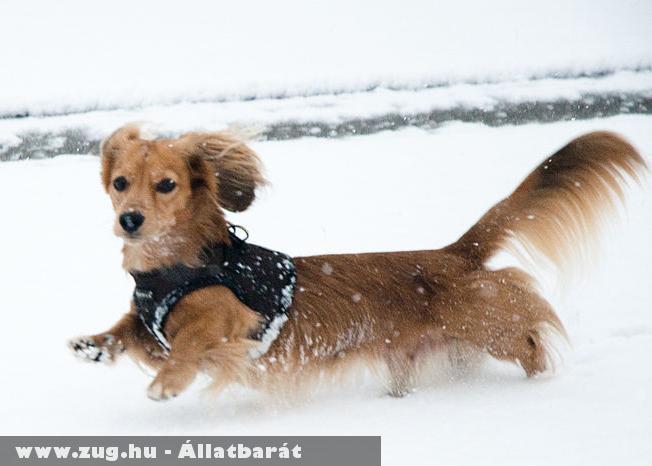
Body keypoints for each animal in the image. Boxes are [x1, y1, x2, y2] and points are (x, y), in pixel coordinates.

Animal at [70, 127, 648, 400]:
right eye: (120, 182)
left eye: (166, 184)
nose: (130, 220)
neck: (177, 267)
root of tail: (456, 252)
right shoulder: (147, 323)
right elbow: (125, 329)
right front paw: (93, 344)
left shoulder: (230, 320)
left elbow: (190, 344)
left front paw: (168, 383)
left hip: (491, 328)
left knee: (530, 343)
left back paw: (543, 387)